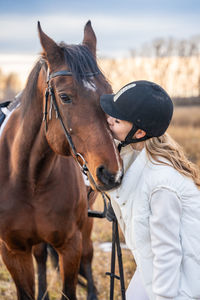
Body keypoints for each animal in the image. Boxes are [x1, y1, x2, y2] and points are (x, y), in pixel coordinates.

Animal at [0, 21, 123, 300]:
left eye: (109, 92)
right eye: (65, 97)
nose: (111, 173)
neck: (29, 177)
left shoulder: (70, 244)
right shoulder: (12, 251)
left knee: (88, 256)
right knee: (41, 256)